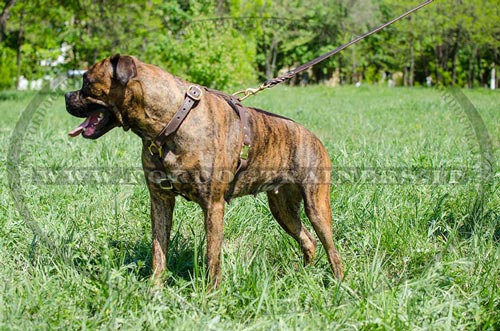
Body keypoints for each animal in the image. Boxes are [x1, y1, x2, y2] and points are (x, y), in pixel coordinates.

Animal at [65, 54, 344, 288]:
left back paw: (339, 284)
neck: (172, 120)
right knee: (308, 240)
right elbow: (159, 250)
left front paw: (211, 295)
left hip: (316, 206)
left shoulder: (213, 205)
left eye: (86, 81)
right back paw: (304, 276)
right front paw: (154, 290)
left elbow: (212, 256)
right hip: (282, 209)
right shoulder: (160, 200)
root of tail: (314, 137)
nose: (67, 95)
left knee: (331, 248)